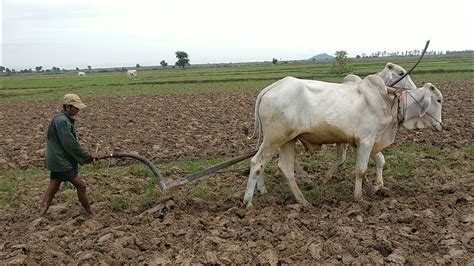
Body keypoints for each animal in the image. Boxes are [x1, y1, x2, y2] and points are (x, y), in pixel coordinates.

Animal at [244, 74, 444, 208]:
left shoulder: (368, 142)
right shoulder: (366, 141)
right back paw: (248, 202)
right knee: (257, 163)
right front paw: (359, 197)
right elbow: (361, 170)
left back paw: (302, 200)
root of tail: (272, 87)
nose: (441, 125)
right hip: (274, 138)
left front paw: (378, 186)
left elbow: (380, 160)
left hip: (288, 140)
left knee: (285, 168)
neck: (390, 103)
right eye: (439, 100)